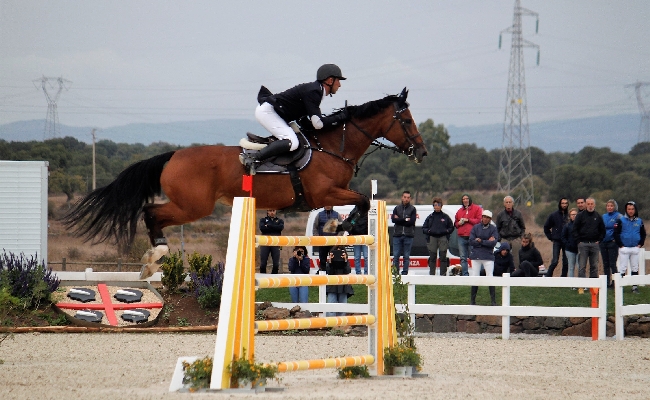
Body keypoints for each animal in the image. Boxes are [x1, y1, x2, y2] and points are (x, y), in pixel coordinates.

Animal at [60, 86, 426, 278]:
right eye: (407, 120)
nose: (421, 152)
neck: (333, 146)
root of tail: (174, 154)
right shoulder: (325, 192)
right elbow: (362, 200)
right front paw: (343, 226)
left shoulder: (327, 195)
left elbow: (361, 201)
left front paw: (341, 226)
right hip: (194, 206)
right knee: (152, 213)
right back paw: (155, 257)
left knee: (151, 213)